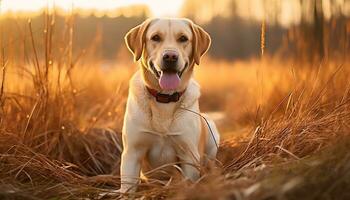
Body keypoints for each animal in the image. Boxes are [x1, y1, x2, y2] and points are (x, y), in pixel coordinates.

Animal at [120, 18, 219, 193]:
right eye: (155, 37)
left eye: (183, 38)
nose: (170, 56)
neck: (164, 99)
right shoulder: (132, 152)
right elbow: (127, 188)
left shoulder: (188, 155)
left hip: (212, 129)